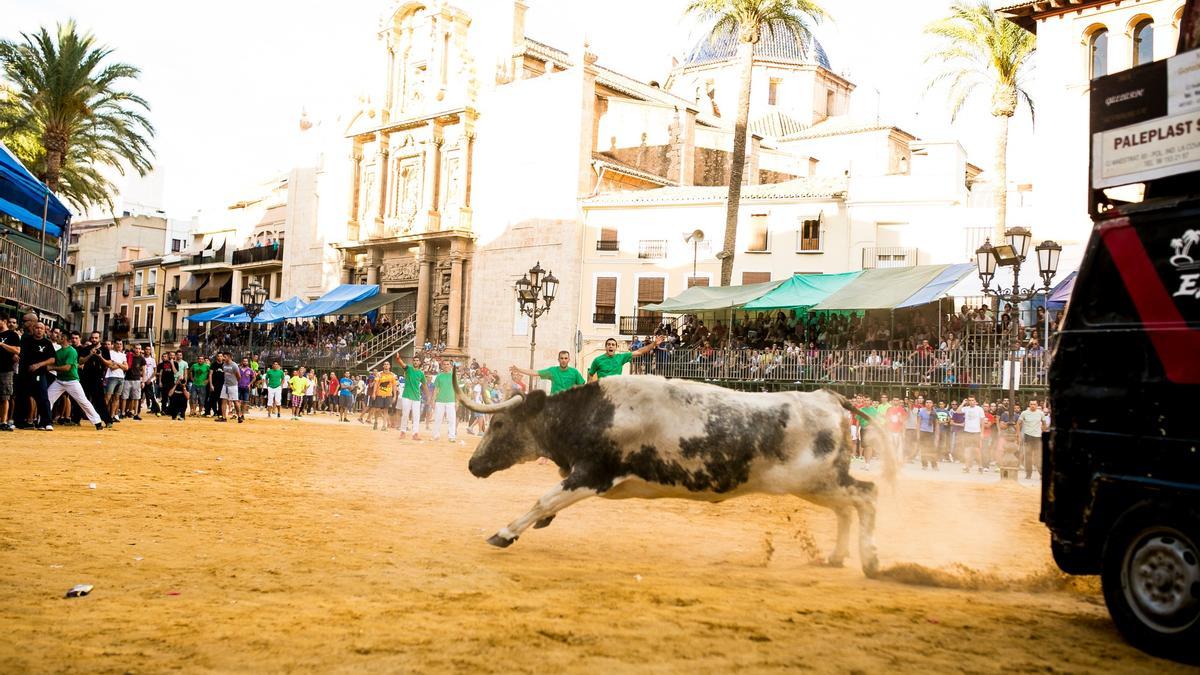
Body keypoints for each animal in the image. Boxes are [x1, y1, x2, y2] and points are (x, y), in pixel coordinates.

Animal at [453, 369, 897, 576]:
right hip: (820, 483)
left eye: (499, 424)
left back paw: (871, 560)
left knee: (867, 495)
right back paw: (837, 557)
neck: (593, 412)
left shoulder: (594, 475)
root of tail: (828, 396)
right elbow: (548, 503)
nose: (474, 465)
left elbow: (543, 499)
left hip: (818, 479)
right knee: (847, 507)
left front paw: (504, 533)